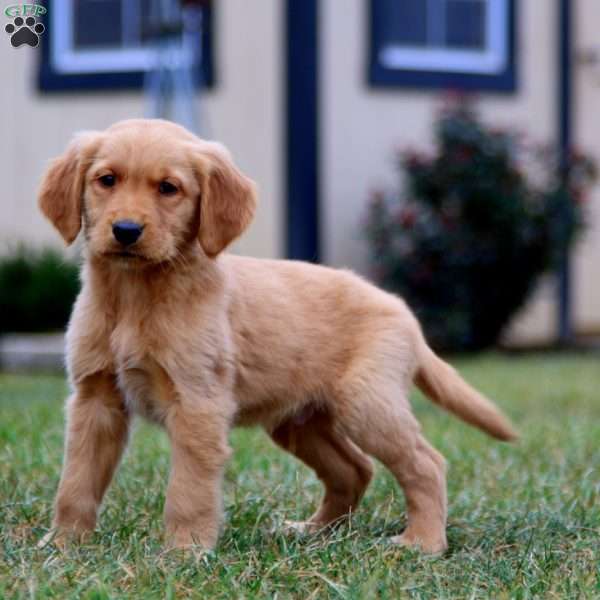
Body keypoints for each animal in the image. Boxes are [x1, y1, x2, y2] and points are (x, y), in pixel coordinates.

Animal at [37, 117, 516, 552]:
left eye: (169, 189)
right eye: (107, 180)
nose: (126, 231)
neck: (134, 296)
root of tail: (403, 312)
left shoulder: (197, 402)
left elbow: (188, 489)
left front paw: (184, 551)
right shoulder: (94, 399)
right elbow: (75, 480)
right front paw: (65, 544)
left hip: (366, 403)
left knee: (425, 463)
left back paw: (423, 541)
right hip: (299, 421)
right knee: (354, 469)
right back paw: (314, 531)